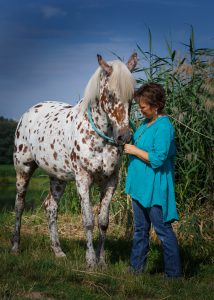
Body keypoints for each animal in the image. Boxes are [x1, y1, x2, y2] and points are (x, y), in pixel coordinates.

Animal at [11, 52, 138, 270]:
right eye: (110, 96)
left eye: (132, 97)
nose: (124, 136)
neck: (98, 136)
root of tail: (29, 112)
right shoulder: (83, 179)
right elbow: (88, 220)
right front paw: (91, 261)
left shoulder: (111, 181)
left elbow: (103, 221)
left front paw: (102, 261)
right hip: (24, 169)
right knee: (20, 205)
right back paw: (15, 247)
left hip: (58, 178)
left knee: (50, 207)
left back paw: (58, 252)